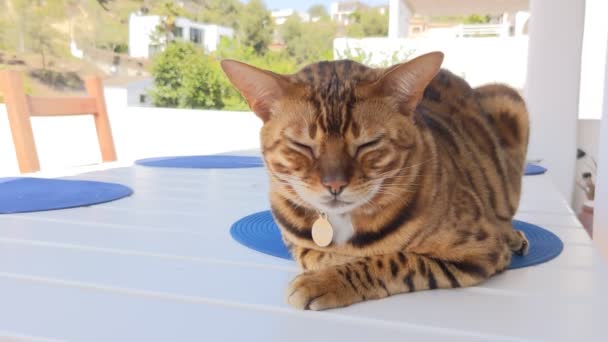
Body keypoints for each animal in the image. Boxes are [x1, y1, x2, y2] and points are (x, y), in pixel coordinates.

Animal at [221, 52, 528, 312]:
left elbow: (394, 259)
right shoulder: (296, 240)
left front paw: (324, 281)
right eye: (302, 145)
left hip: (508, 99)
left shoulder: (478, 247)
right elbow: (314, 254)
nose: (334, 184)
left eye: (368, 144)